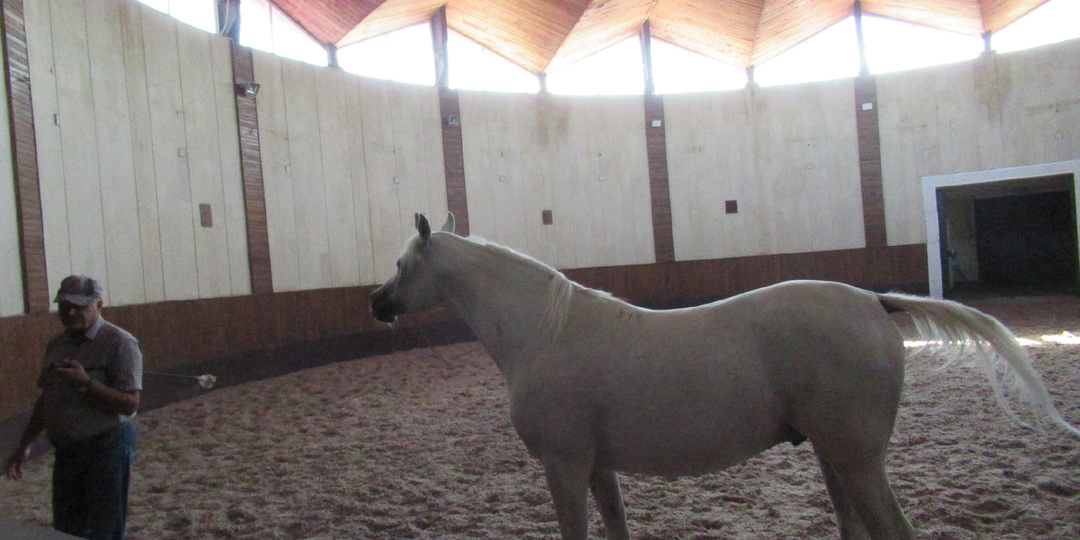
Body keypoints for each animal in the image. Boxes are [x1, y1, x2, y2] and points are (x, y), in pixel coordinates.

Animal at [369, 212, 1079, 540]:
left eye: (403, 265)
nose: (376, 304)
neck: (545, 330)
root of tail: (873, 301)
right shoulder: (595, 466)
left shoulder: (564, 466)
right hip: (836, 457)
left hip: (856, 459)